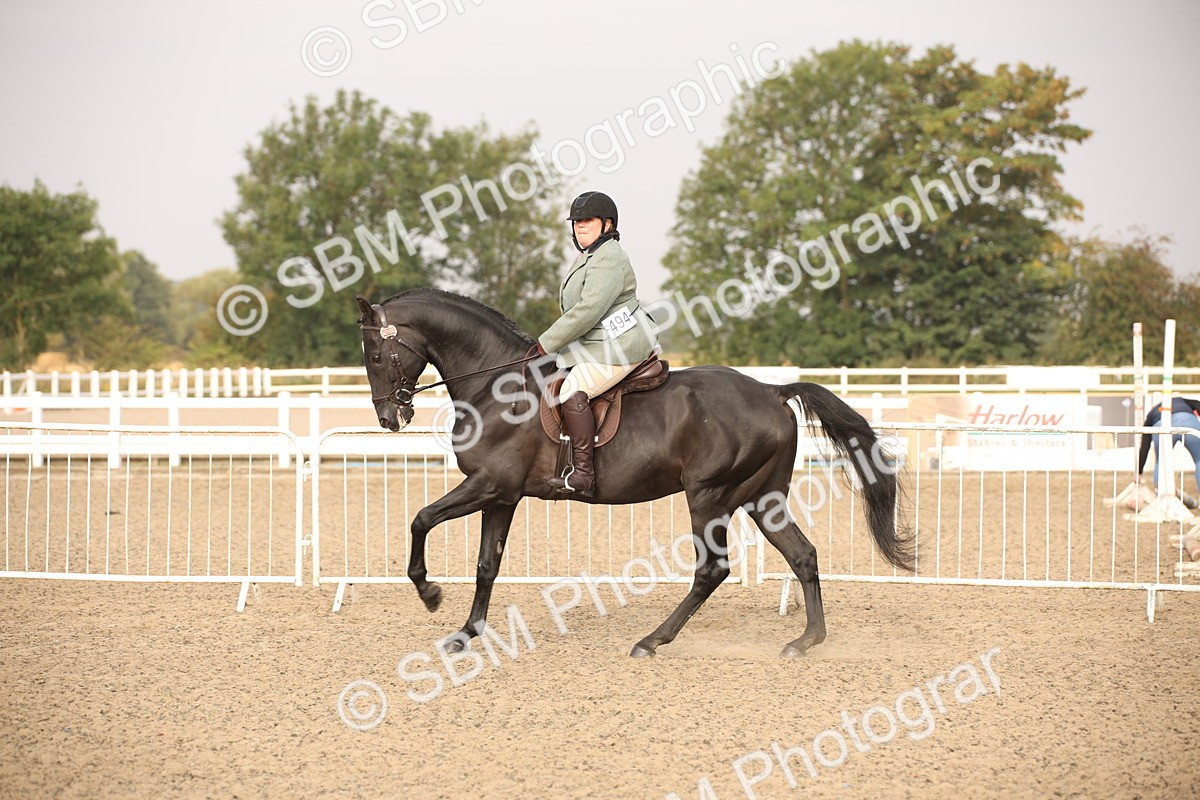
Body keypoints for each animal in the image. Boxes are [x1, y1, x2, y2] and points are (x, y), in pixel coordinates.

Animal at [355, 289, 913, 658]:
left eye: (377, 354)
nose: (389, 419)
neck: (498, 388)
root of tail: (772, 391)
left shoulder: (489, 485)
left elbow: (421, 519)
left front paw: (429, 593)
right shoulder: (503, 496)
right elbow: (486, 565)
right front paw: (467, 633)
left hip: (709, 497)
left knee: (712, 569)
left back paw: (652, 640)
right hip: (761, 498)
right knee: (802, 555)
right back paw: (807, 640)